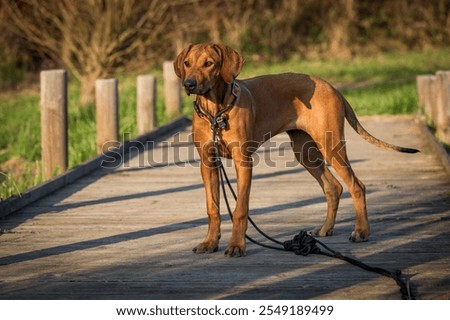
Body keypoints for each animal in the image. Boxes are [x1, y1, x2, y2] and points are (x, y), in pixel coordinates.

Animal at [173, 43, 418, 258]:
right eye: (187, 63)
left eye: (209, 64)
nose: (189, 84)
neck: (215, 112)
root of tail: (332, 87)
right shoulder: (208, 163)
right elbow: (212, 208)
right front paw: (209, 242)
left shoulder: (243, 161)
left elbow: (240, 209)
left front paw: (236, 245)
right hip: (304, 151)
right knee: (333, 187)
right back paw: (325, 228)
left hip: (330, 146)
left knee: (356, 186)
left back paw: (361, 232)